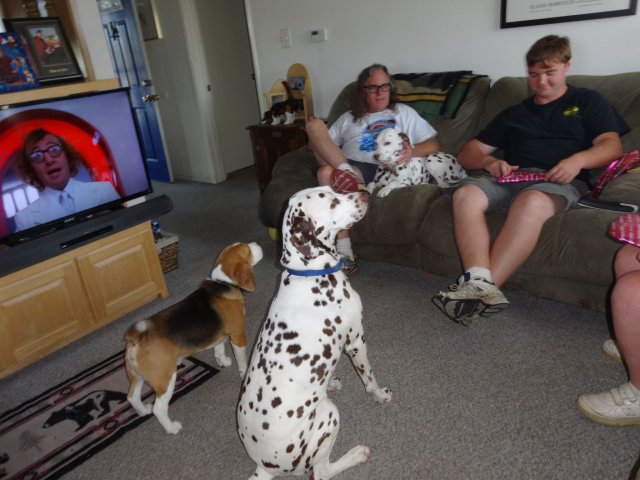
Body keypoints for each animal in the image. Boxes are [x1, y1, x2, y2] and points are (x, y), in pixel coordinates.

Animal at [125, 242, 262, 434]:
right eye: (248, 250)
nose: (257, 244)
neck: (223, 283)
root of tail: (137, 335)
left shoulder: (221, 336)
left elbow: (219, 348)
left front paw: (223, 361)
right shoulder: (238, 336)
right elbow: (242, 359)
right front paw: (244, 373)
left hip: (136, 376)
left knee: (131, 397)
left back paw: (143, 410)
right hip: (165, 378)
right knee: (159, 408)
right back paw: (172, 428)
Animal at [238, 186, 392, 478]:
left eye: (333, 190)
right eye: (331, 202)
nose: (364, 193)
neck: (309, 274)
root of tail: (264, 465)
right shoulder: (356, 340)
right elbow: (369, 379)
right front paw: (379, 396)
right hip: (329, 416)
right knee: (321, 471)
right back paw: (356, 455)